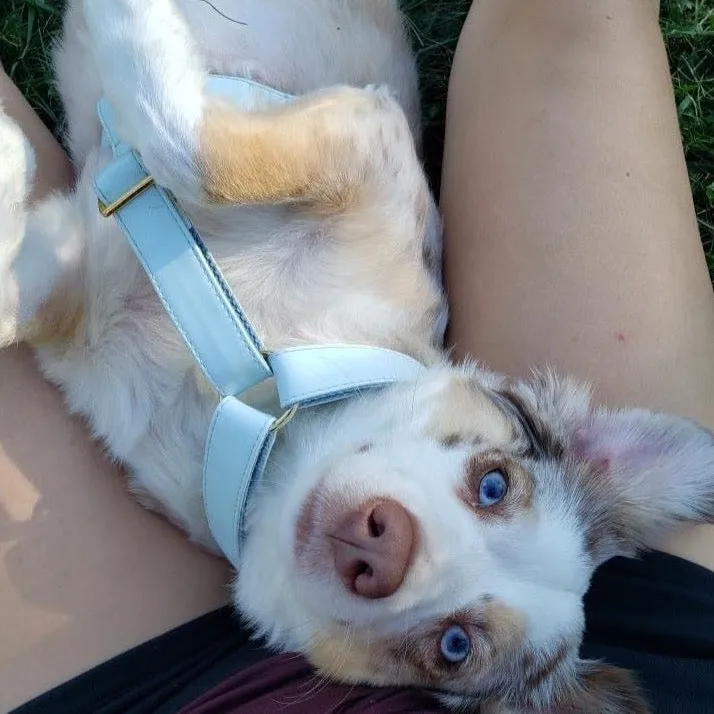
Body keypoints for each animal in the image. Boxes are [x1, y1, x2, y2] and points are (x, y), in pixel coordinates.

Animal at [1, 1, 712, 712]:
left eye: (455, 647)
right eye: (494, 485)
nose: (384, 546)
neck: (265, 408)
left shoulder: (364, 136)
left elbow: (197, 153)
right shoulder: (366, 146)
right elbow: (202, 163)